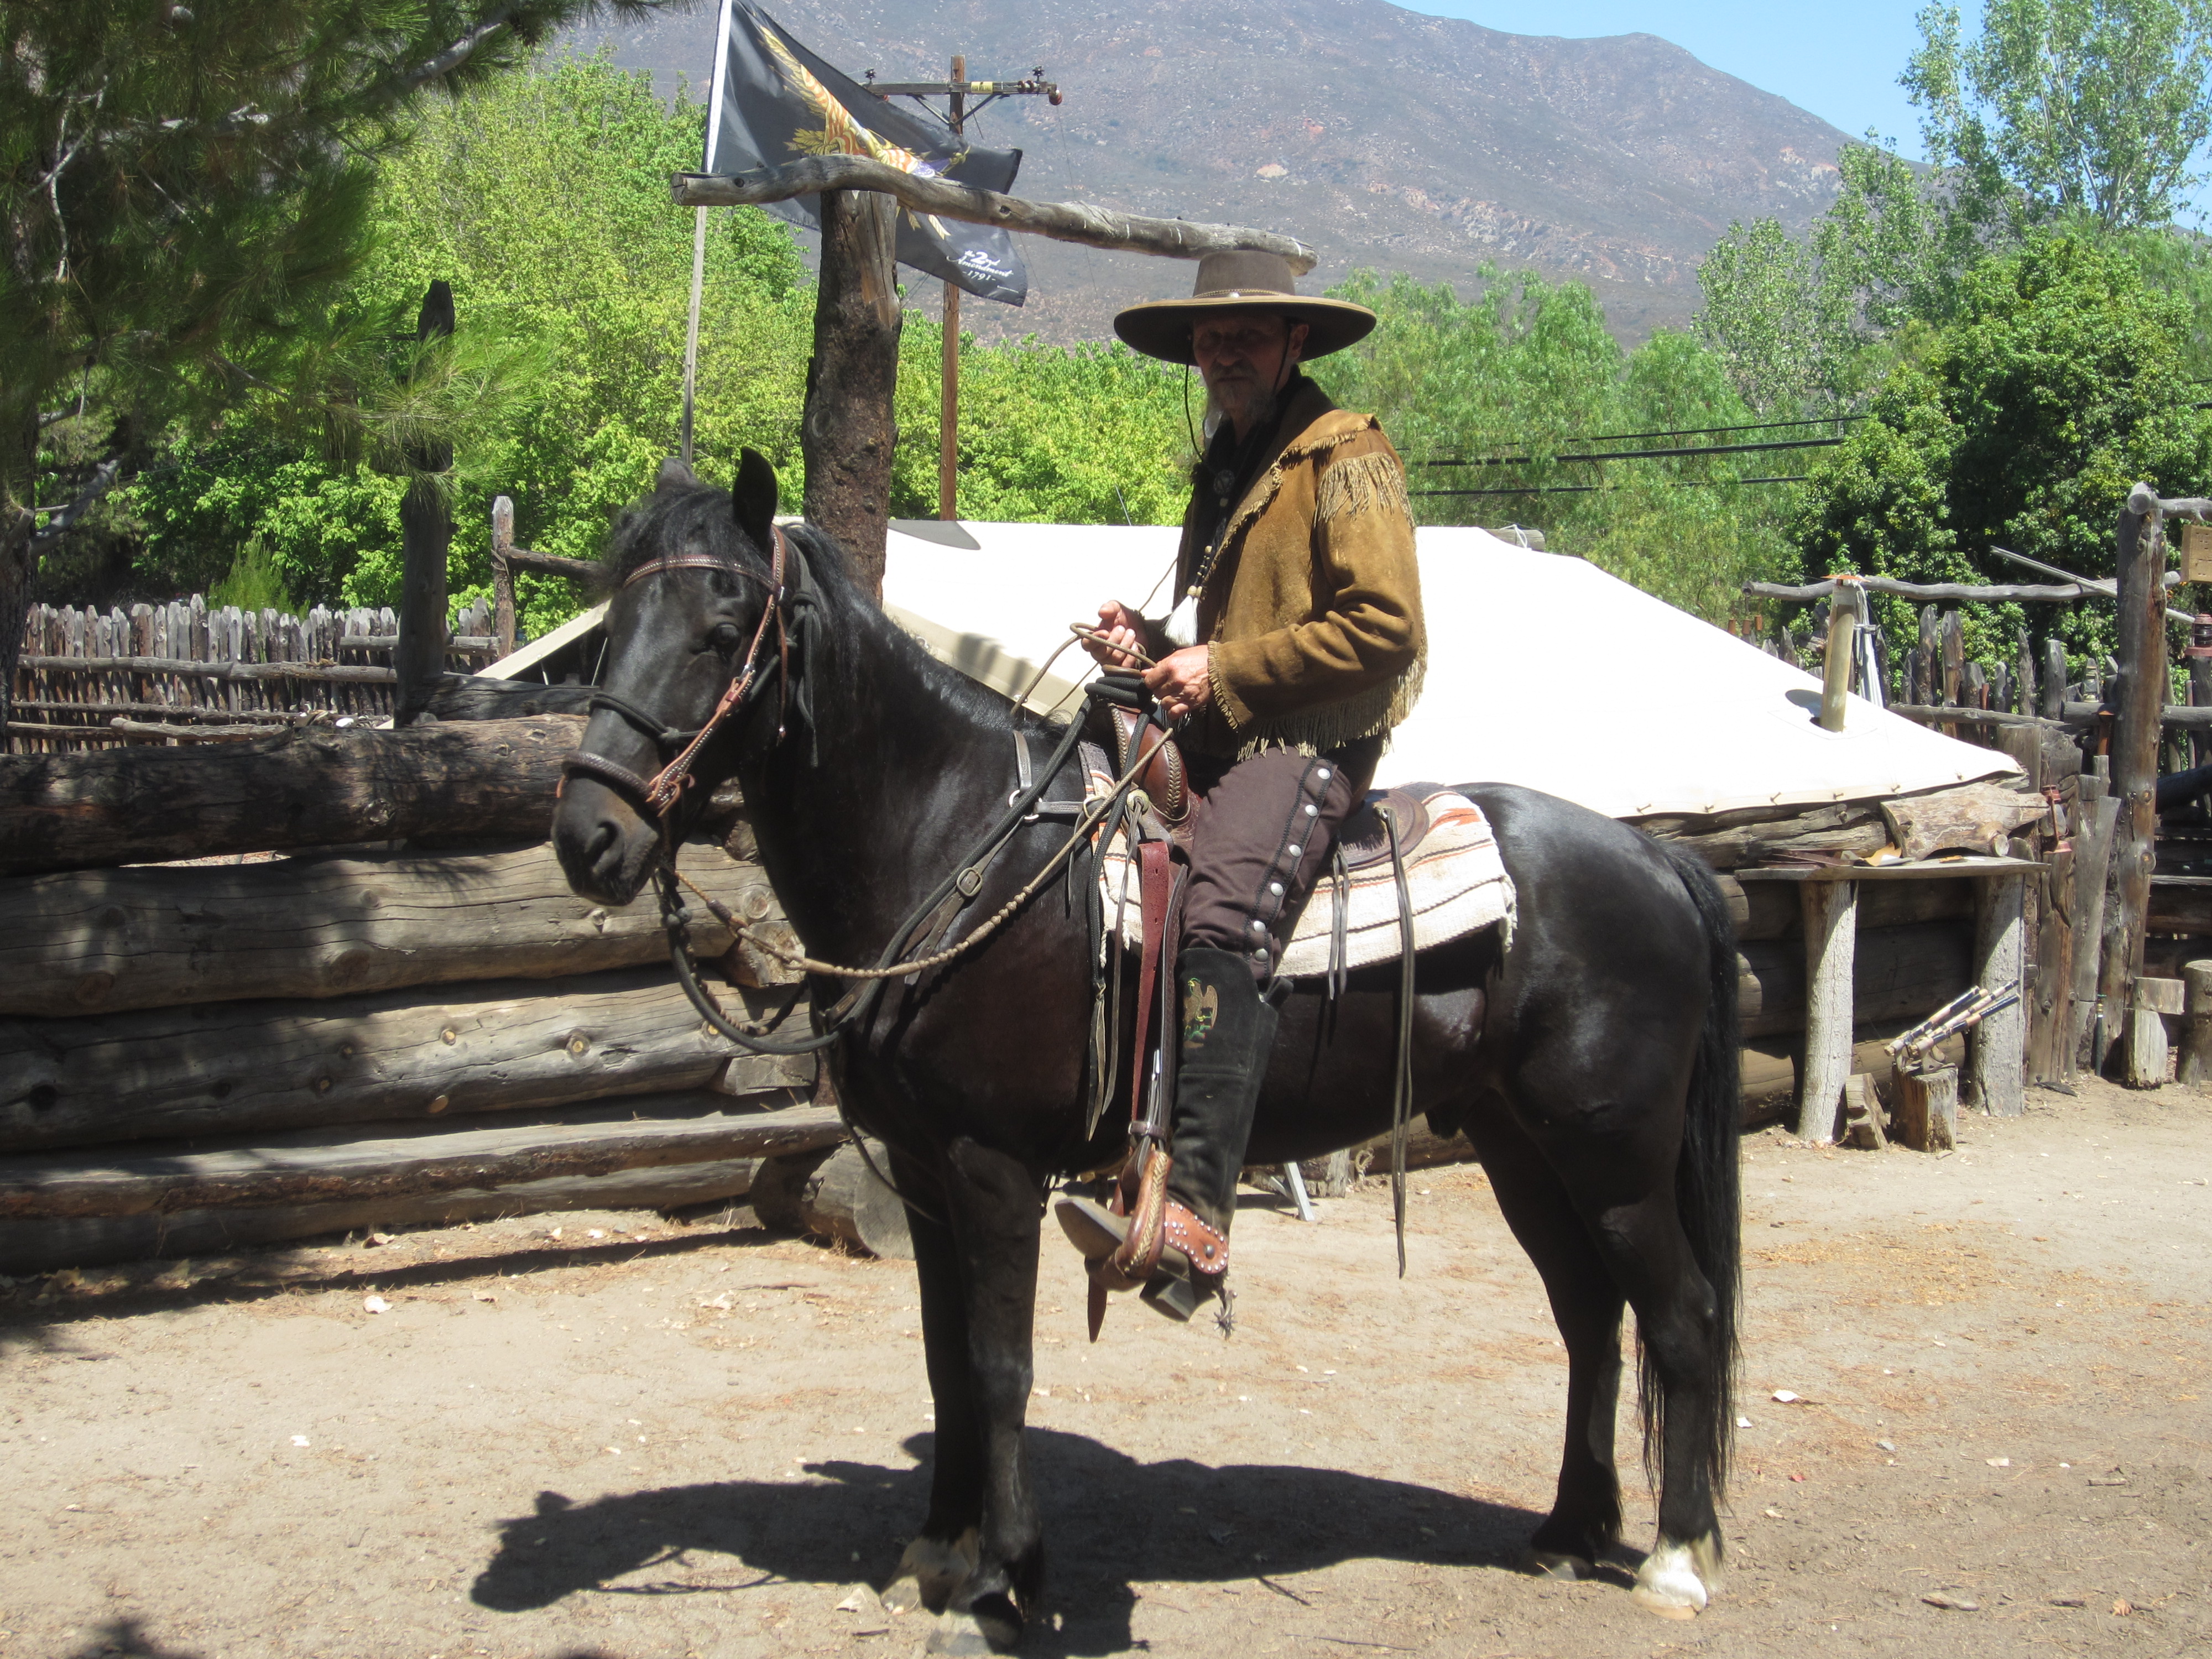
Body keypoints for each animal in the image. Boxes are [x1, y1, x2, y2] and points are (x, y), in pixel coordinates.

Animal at [553, 458, 1743, 1655]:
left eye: (719, 633)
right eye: (611, 624)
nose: (587, 836)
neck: (956, 841)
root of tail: (1654, 856)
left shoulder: (992, 1168)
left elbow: (998, 1369)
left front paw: (1002, 1585)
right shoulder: (928, 1176)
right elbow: (944, 1362)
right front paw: (939, 1550)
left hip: (1615, 1161)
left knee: (1680, 1316)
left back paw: (1678, 1558)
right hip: (1520, 1147)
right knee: (1589, 1314)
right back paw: (1569, 1530)